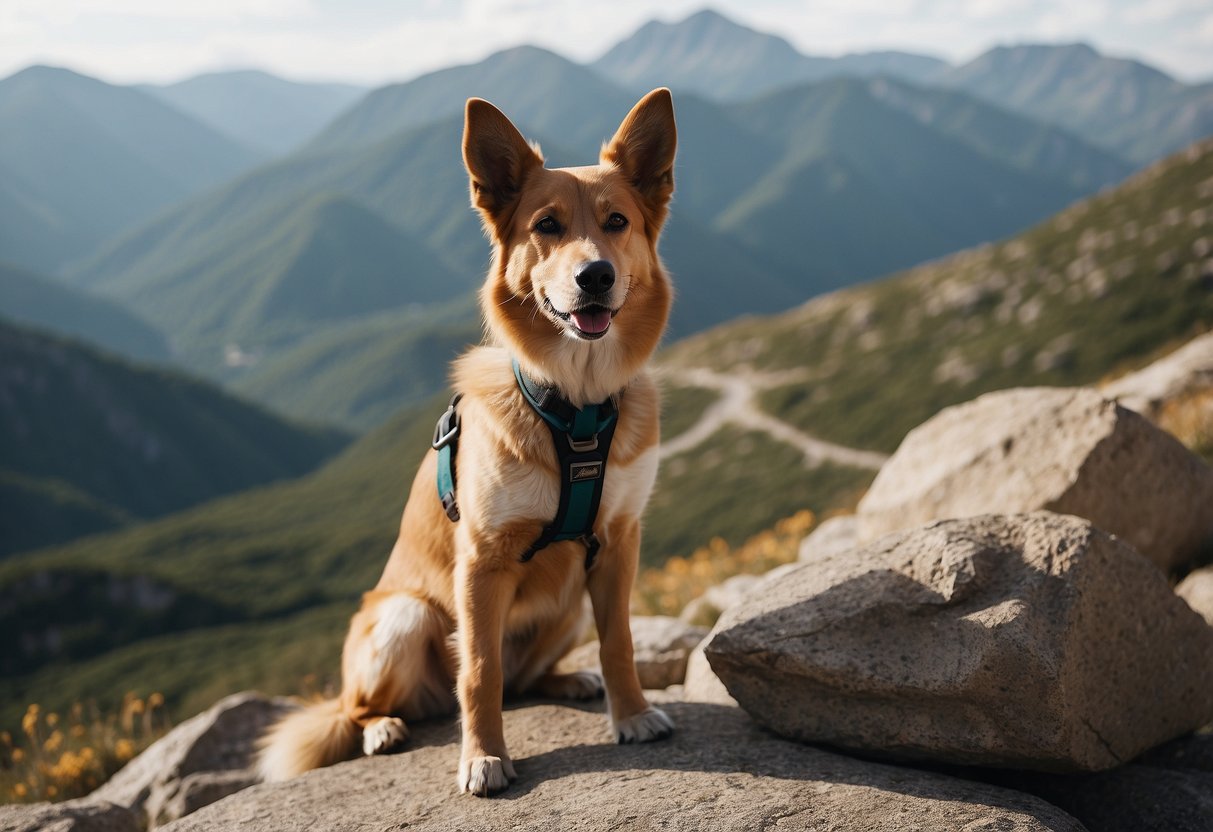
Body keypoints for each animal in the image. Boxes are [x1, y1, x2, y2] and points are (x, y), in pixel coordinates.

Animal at [257, 87, 679, 800]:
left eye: (617, 221)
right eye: (546, 226)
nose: (595, 276)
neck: (574, 408)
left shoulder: (619, 542)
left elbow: (618, 641)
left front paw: (633, 713)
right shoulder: (481, 560)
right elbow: (479, 671)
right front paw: (482, 758)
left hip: (568, 603)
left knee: (527, 679)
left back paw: (567, 679)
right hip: (404, 618)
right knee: (359, 706)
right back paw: (382, 728)